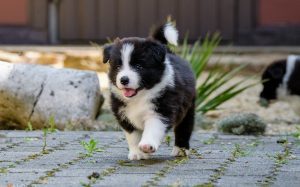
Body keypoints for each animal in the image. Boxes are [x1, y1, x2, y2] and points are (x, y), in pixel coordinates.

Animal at [103, 22, 196, 160]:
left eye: (138, 66)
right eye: (118, 66)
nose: (124, 79)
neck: (140, 96)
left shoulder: (161, 110)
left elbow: (153, 127)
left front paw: (147, 145)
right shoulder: (124, 115)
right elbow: (133, 136)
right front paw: (137, 153)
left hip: (188, 108)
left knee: (184, 129)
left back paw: (181, 150)